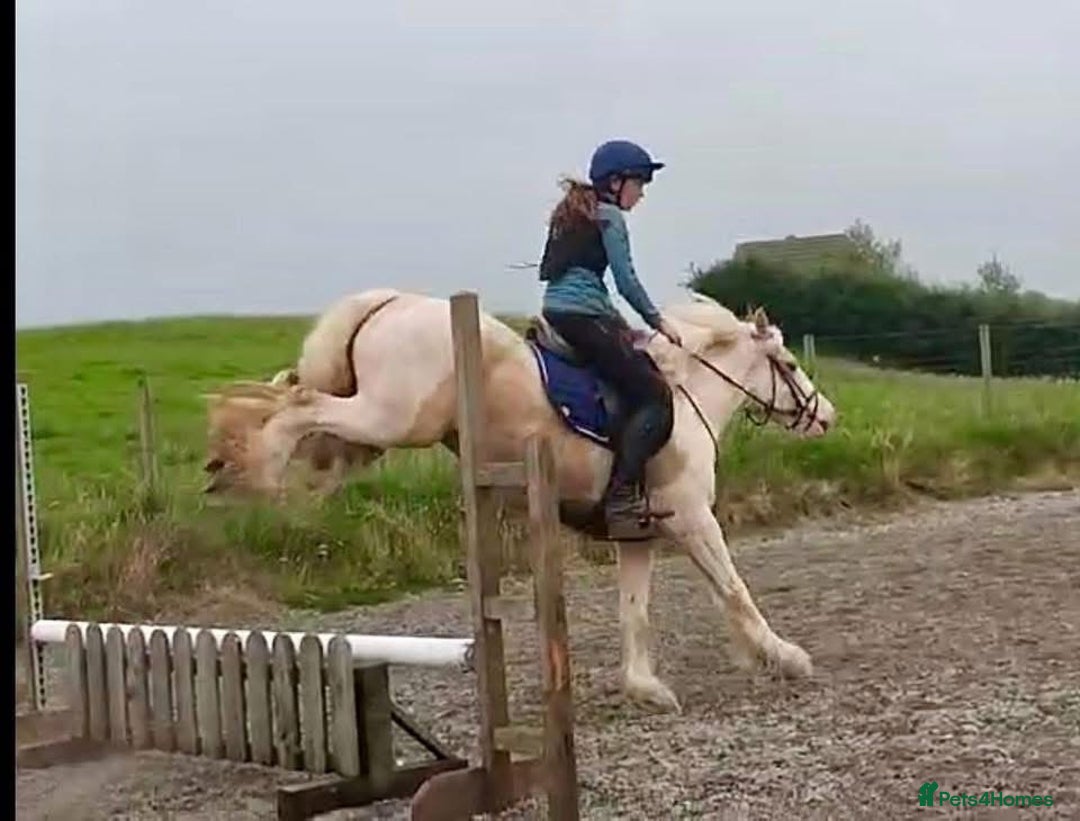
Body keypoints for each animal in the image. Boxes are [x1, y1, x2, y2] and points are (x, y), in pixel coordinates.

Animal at [201, 287, 837, 712]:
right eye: (791, 364)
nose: (826, 416)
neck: (685, 395)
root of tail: (392, 303)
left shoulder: (637, 536)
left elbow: (636, 611)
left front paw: (645, 687)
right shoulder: (691, 519)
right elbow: (734, 589)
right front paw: (785, 656)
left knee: (290, 396)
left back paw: (229, 458)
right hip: (390, 417)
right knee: (298, 404)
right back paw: (250, 468)